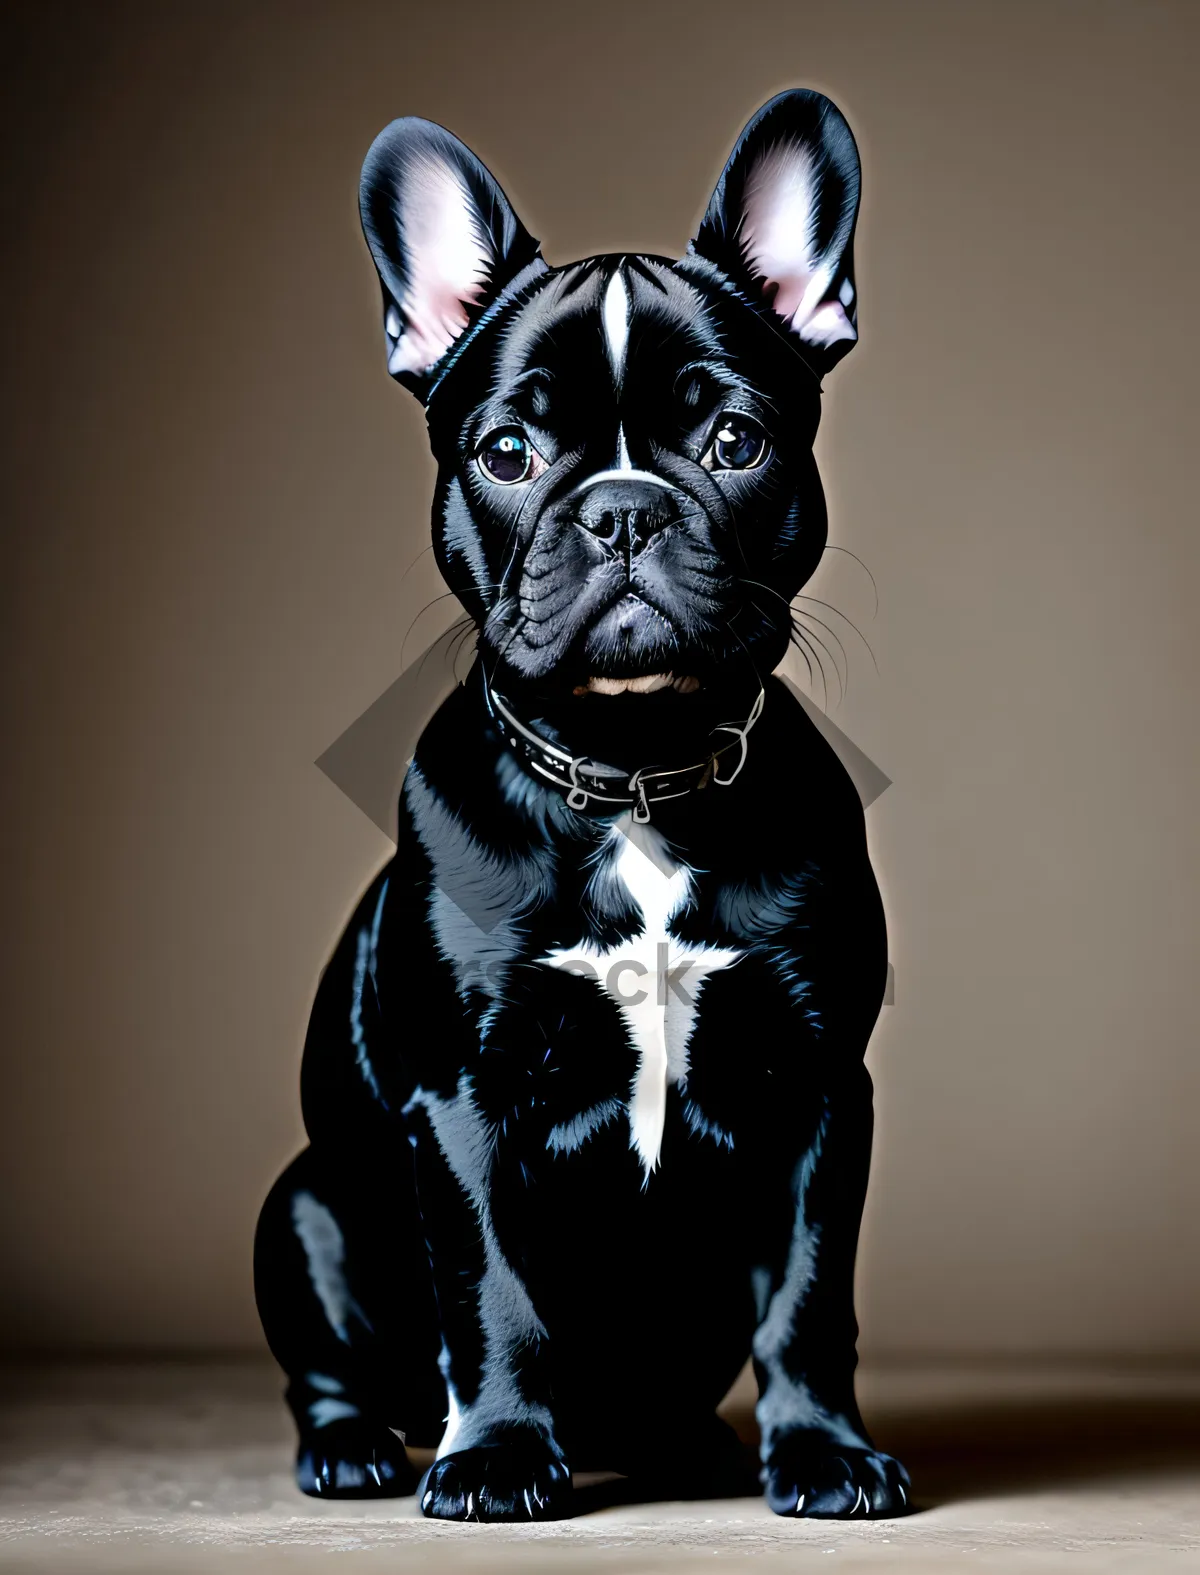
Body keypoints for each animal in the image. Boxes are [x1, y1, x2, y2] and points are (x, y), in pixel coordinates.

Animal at [255, 92, 907, 1518]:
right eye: (508, 452)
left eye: (736, 441)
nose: (620, 510)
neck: (634, 772)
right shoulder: (463, 1102)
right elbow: (492, 1290)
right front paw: (498, 1454)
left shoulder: (822, 1092)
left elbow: (811, 1295)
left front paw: (824, 1451)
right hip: (305, 1209)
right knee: (333, 1360)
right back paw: (354, 1448)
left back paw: (694, 1445)